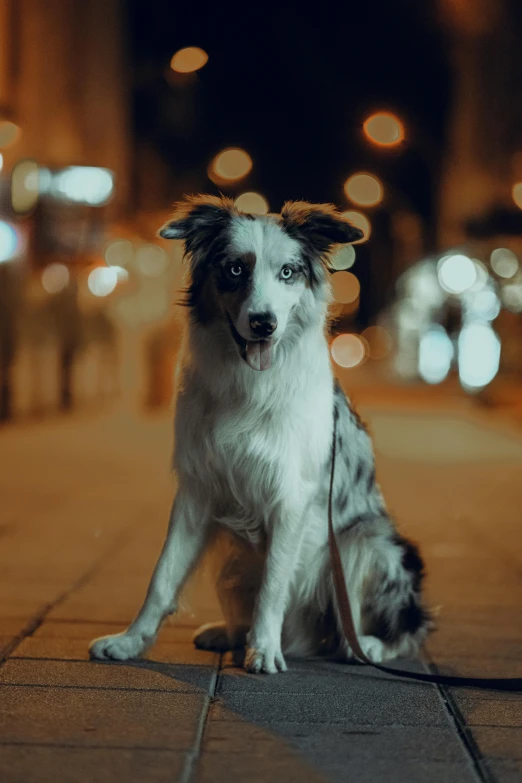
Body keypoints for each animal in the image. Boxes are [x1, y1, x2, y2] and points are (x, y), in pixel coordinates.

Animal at [89, 194, 430, 672]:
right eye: (235, 269)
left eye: (288, 272)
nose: (264, 322)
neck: (249, 384)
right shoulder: (198, 489)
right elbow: (163, 576)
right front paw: (129, 642)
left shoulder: (291, 496)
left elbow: (273, 584)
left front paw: (264, 650)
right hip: (235, 556)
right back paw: (227, 633)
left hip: (367, 541)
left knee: (399, 629)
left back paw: (367, 647)